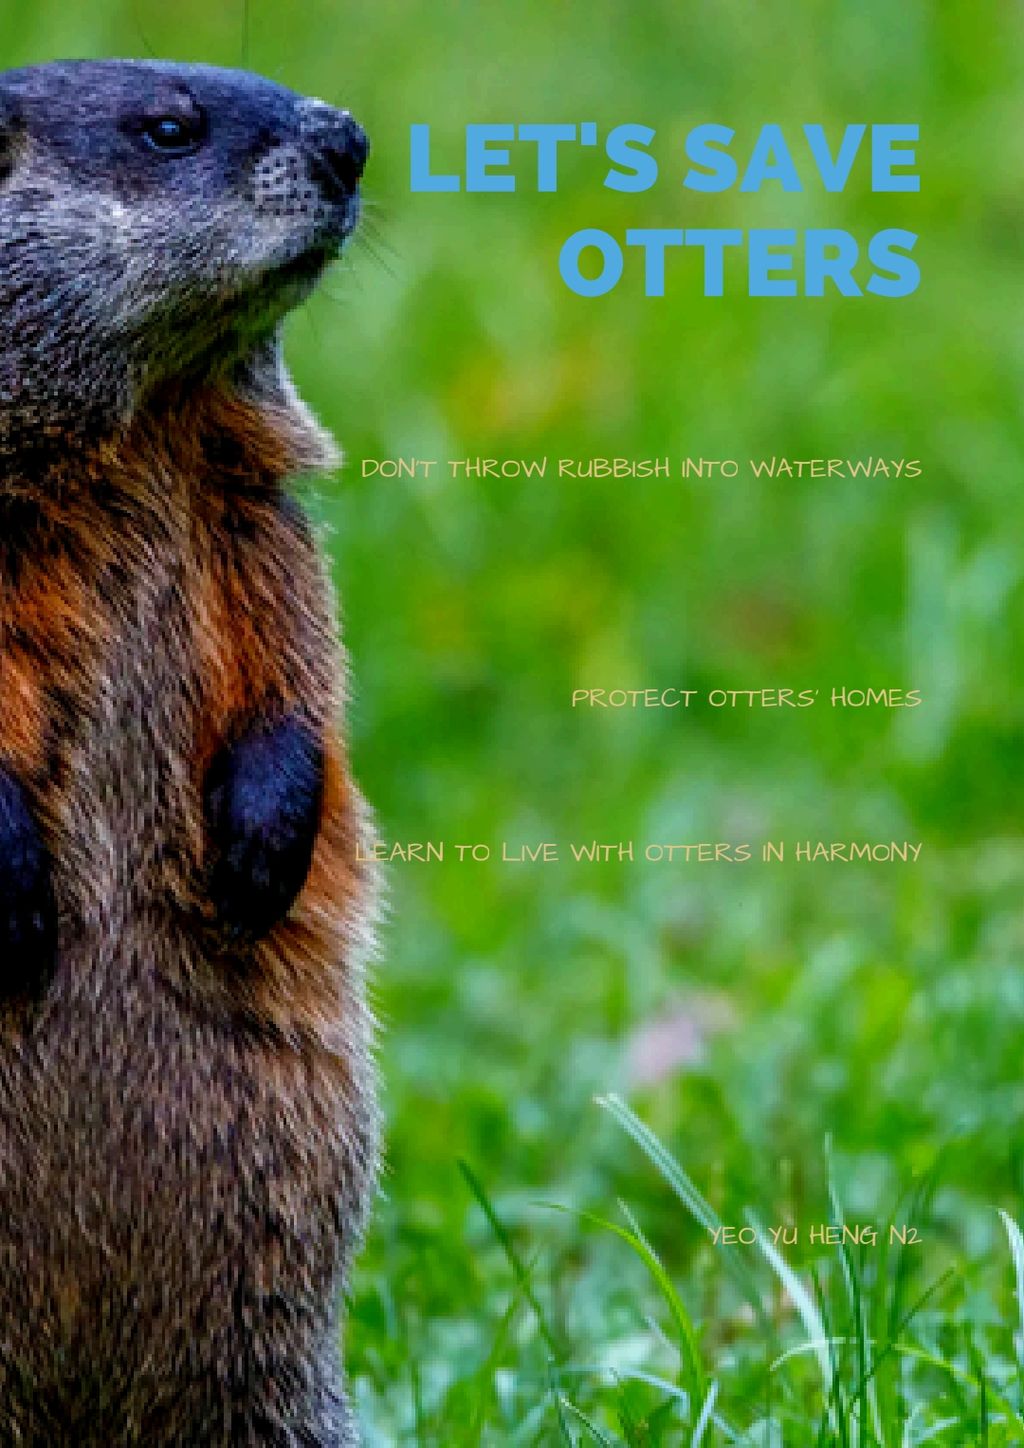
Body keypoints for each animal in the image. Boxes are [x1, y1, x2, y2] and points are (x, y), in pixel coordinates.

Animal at [0, 60, 377, 1445]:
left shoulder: (239, 493)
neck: (136, 422)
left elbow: (290, 630)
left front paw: (264, 842)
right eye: (165, 128)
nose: (353, 140)